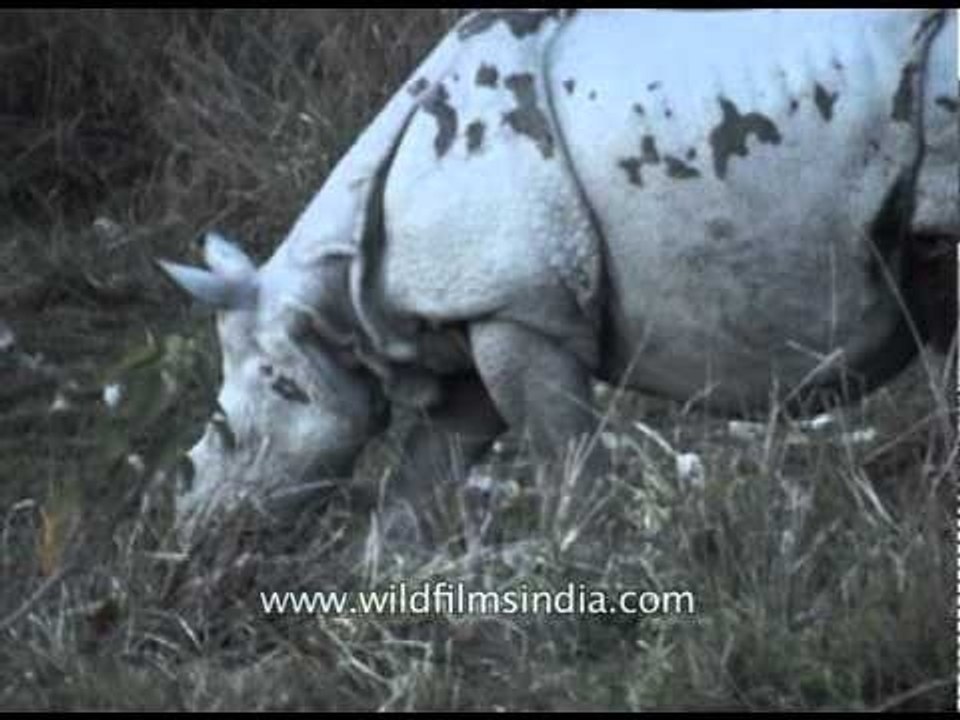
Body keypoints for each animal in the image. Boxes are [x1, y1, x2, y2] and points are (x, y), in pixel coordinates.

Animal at [159, 9, 959, 543]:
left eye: (228, 430)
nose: (195, 525)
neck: (332, 296)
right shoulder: (475, 306)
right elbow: (428, 466)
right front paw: (385, 575)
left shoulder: (518, 304)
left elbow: (559, 448)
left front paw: (583, 554)